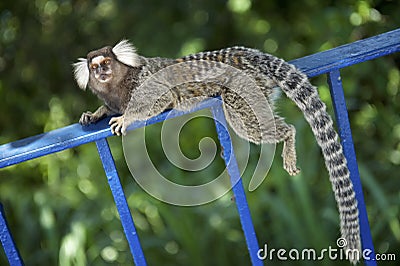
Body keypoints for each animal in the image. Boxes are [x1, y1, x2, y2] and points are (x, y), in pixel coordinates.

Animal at [72, 39, 362, 262]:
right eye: (94, 67)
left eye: (106, 64)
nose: (100, 73)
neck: (120, 84)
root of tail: (245, 55)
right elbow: (106, 108)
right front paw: (95, 113)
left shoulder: (146, 85)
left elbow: (160, 100)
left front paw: (126, 118)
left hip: (245, 88)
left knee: (251, 124)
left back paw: (288, 138)